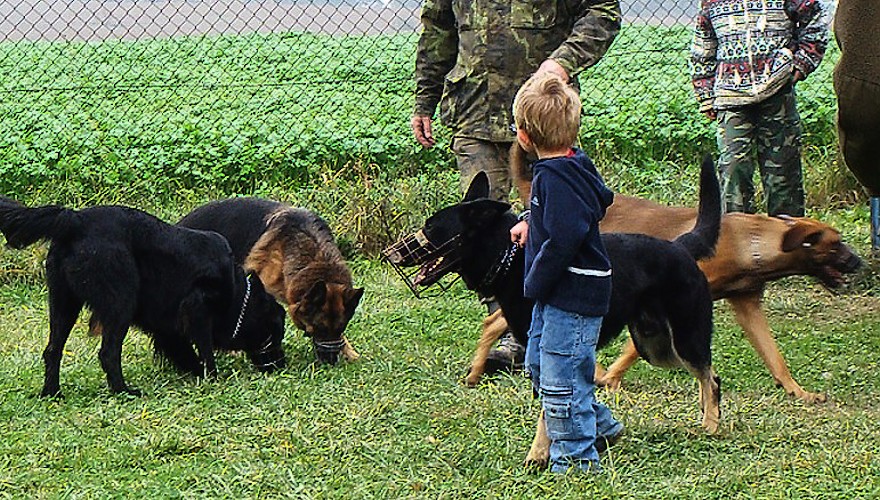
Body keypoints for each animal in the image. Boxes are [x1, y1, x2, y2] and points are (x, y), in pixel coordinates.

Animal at [0, 197, 286, 396]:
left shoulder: (168, 324)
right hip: (120, 299)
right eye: (275, 334)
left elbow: (182, 348)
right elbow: (204, 347)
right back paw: (123, 391)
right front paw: (211, 375)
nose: (281, 366)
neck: (237, 291)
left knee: (52, 350)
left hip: (63, 301)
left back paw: (52, 393)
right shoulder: (197, 307)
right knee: (108, 352)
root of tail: (75, 219)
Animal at [388, 155, 724, 442]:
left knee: (711, 378)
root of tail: (680, 246)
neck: (510, 257)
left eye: (431, 227)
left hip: (683, 338)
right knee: (705, 375)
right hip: (656, 347)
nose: (392, 254)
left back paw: (710, 425)